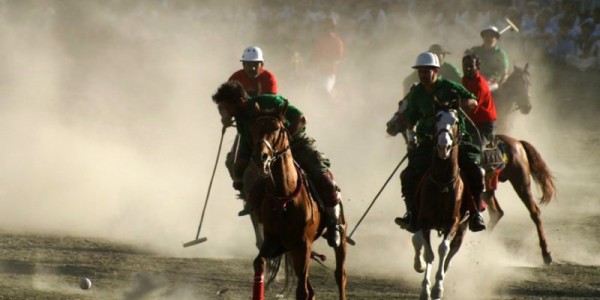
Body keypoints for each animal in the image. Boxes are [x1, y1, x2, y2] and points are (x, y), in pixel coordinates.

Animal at [245, 103, 346, 300]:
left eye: (276, 128)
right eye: (253, 128)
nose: (260, 157)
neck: (285, 195)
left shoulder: (303, 244)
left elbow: (302, 291)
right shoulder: (273, 241)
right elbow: (259, 262)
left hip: (340, 238)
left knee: (340, 275)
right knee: (310, 288)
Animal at [386, 64, 556, 264]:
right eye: (400, 103)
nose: (390, 125)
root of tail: (518, 143)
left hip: (521, 182)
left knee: (534, 212)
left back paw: (546, 253)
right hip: (490, 190)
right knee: (497, 213)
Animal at [414, 99, 472, 300]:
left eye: (456, 121)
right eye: (437, 118)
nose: (443, 147)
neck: (442, 181)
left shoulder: (453, 222)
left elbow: (443, 249)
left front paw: (437, 288)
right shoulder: (424, 220)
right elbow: (428, 253)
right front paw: (425, 289)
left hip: (463, 228)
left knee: (450, 254)